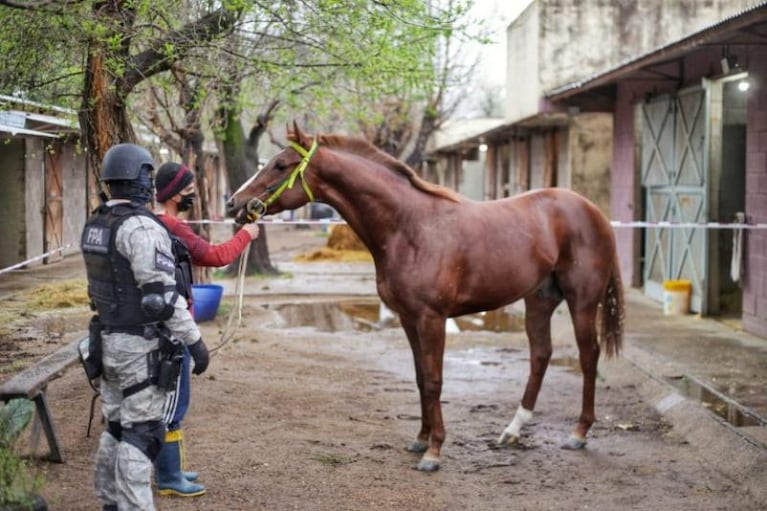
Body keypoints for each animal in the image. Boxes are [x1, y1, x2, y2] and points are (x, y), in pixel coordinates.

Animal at [226, 125, 624, 472]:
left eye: (281, 165)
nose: (233, 204)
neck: (410, 227)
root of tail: (592, 211)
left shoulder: (432, 318)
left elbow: (434, 380)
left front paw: (434, 452)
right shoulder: (407, 317)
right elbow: (419, 377)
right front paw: (420, 439)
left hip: (582, 301)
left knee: (589, 356)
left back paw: (579, 432)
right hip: (539, 300)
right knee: (541, 355)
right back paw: (512, 430)